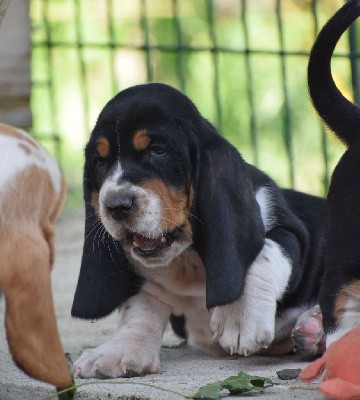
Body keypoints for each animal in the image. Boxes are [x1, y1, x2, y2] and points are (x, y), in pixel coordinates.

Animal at [71, 82, 328, 378]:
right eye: (100, 162)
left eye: (157, 151)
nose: (115, 205)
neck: (188, 259)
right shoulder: (145, 281)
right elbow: (139, 310)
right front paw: (118, 351)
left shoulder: (292, 233)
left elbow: (263, 253)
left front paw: (240, 317)